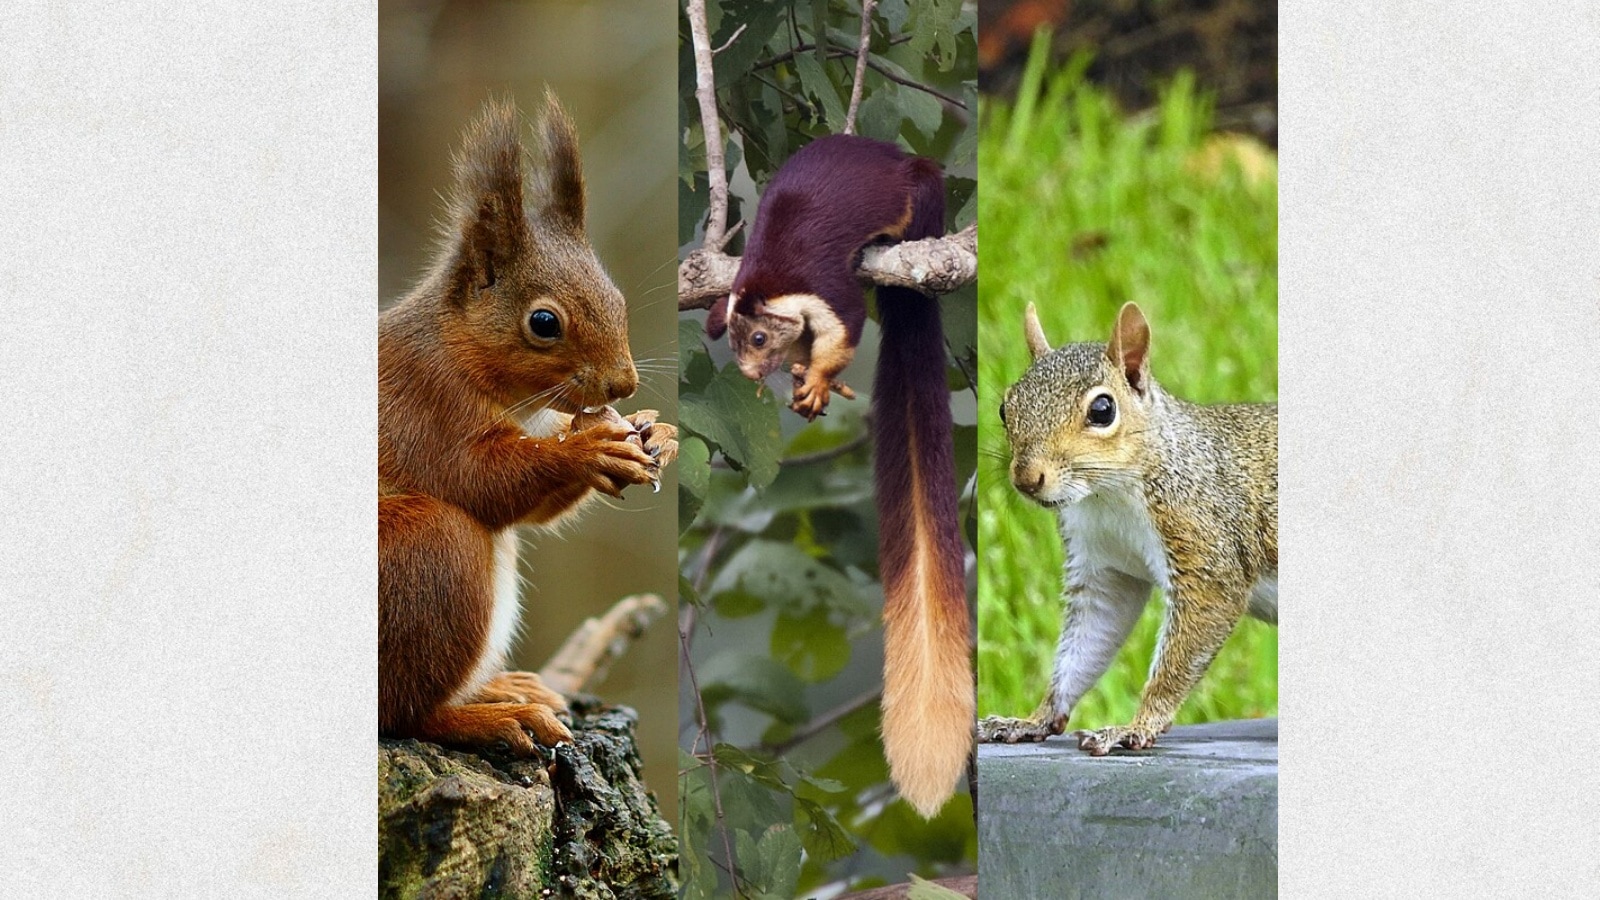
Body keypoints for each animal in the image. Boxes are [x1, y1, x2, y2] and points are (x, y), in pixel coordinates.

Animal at [379, 94, 677, 756]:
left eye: (617, 299)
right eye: (544, 322)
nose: (623, 386)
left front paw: (657, 432)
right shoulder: (424, 404)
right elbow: (478, 479)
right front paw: (587, 450)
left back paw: (502, 687)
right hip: (427, 552)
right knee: (403, 714)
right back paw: (487, 717)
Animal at [704, 135, 971, 817]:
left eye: (760, 339)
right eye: (737, 345)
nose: (751, 374)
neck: (768, 278)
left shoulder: (825, 291)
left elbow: (845, 324)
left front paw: (819, 379)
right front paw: (807, 380)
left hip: (920, 194)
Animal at [976, 302, 1276, 755]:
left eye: (1103, 410)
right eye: (1005, 408)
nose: (1027, 479)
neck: (1109, 494)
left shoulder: (1204, 544)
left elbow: (1189, 641)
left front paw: (1135, 727)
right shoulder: (1105, 568)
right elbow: (1087, 642)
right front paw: (1032, 719)